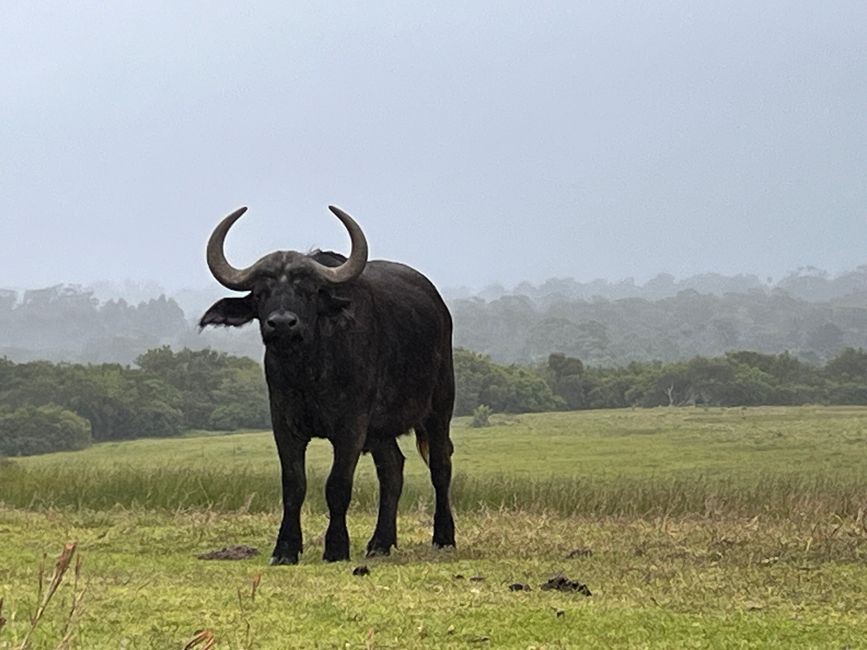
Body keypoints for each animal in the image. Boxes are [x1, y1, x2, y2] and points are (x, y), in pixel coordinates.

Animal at [201, 205, 458, 560]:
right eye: (261, 293)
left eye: (307, 291)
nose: (282, 323)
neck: (309, 373)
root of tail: (440, 308)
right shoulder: (284, 423)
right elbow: (294, 485)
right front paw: (285, 549)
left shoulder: (351, 426)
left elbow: (337, 486)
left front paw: (336, 548)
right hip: (380, 430)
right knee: (392, 469)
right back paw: (380, 543)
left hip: (439, 406)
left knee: (440, 466)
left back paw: (444, 536)